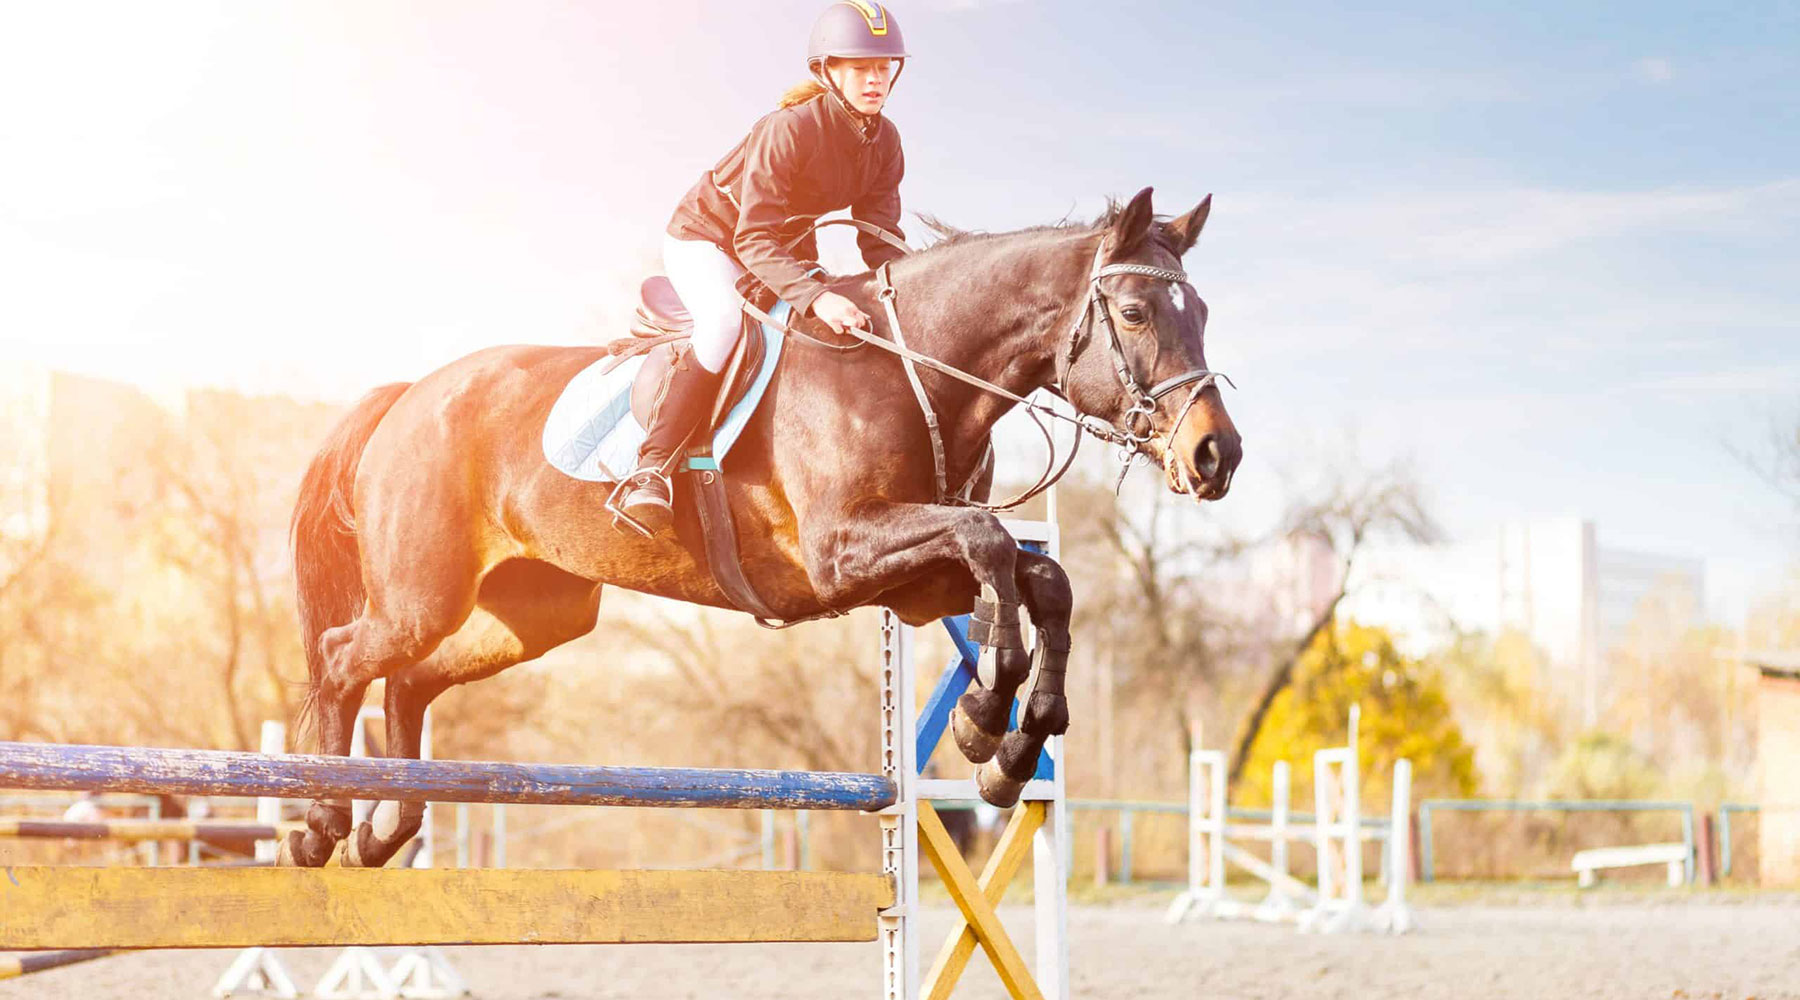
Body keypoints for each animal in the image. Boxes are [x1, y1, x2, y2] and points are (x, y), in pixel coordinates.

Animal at [284, 185, 1238, 866]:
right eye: (1137, 314)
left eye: (1202, 315)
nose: (1216, 454)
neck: (915, 368)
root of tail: (408, 394)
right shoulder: (842, 550)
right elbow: (995, 544)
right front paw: (981, 716)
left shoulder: (910, 579)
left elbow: (1042, 577)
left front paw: (1010, 744)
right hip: (423, 596)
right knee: (341, 658)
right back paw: (322, 820)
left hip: (537, 613)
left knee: (410, 682)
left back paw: (381, 830)